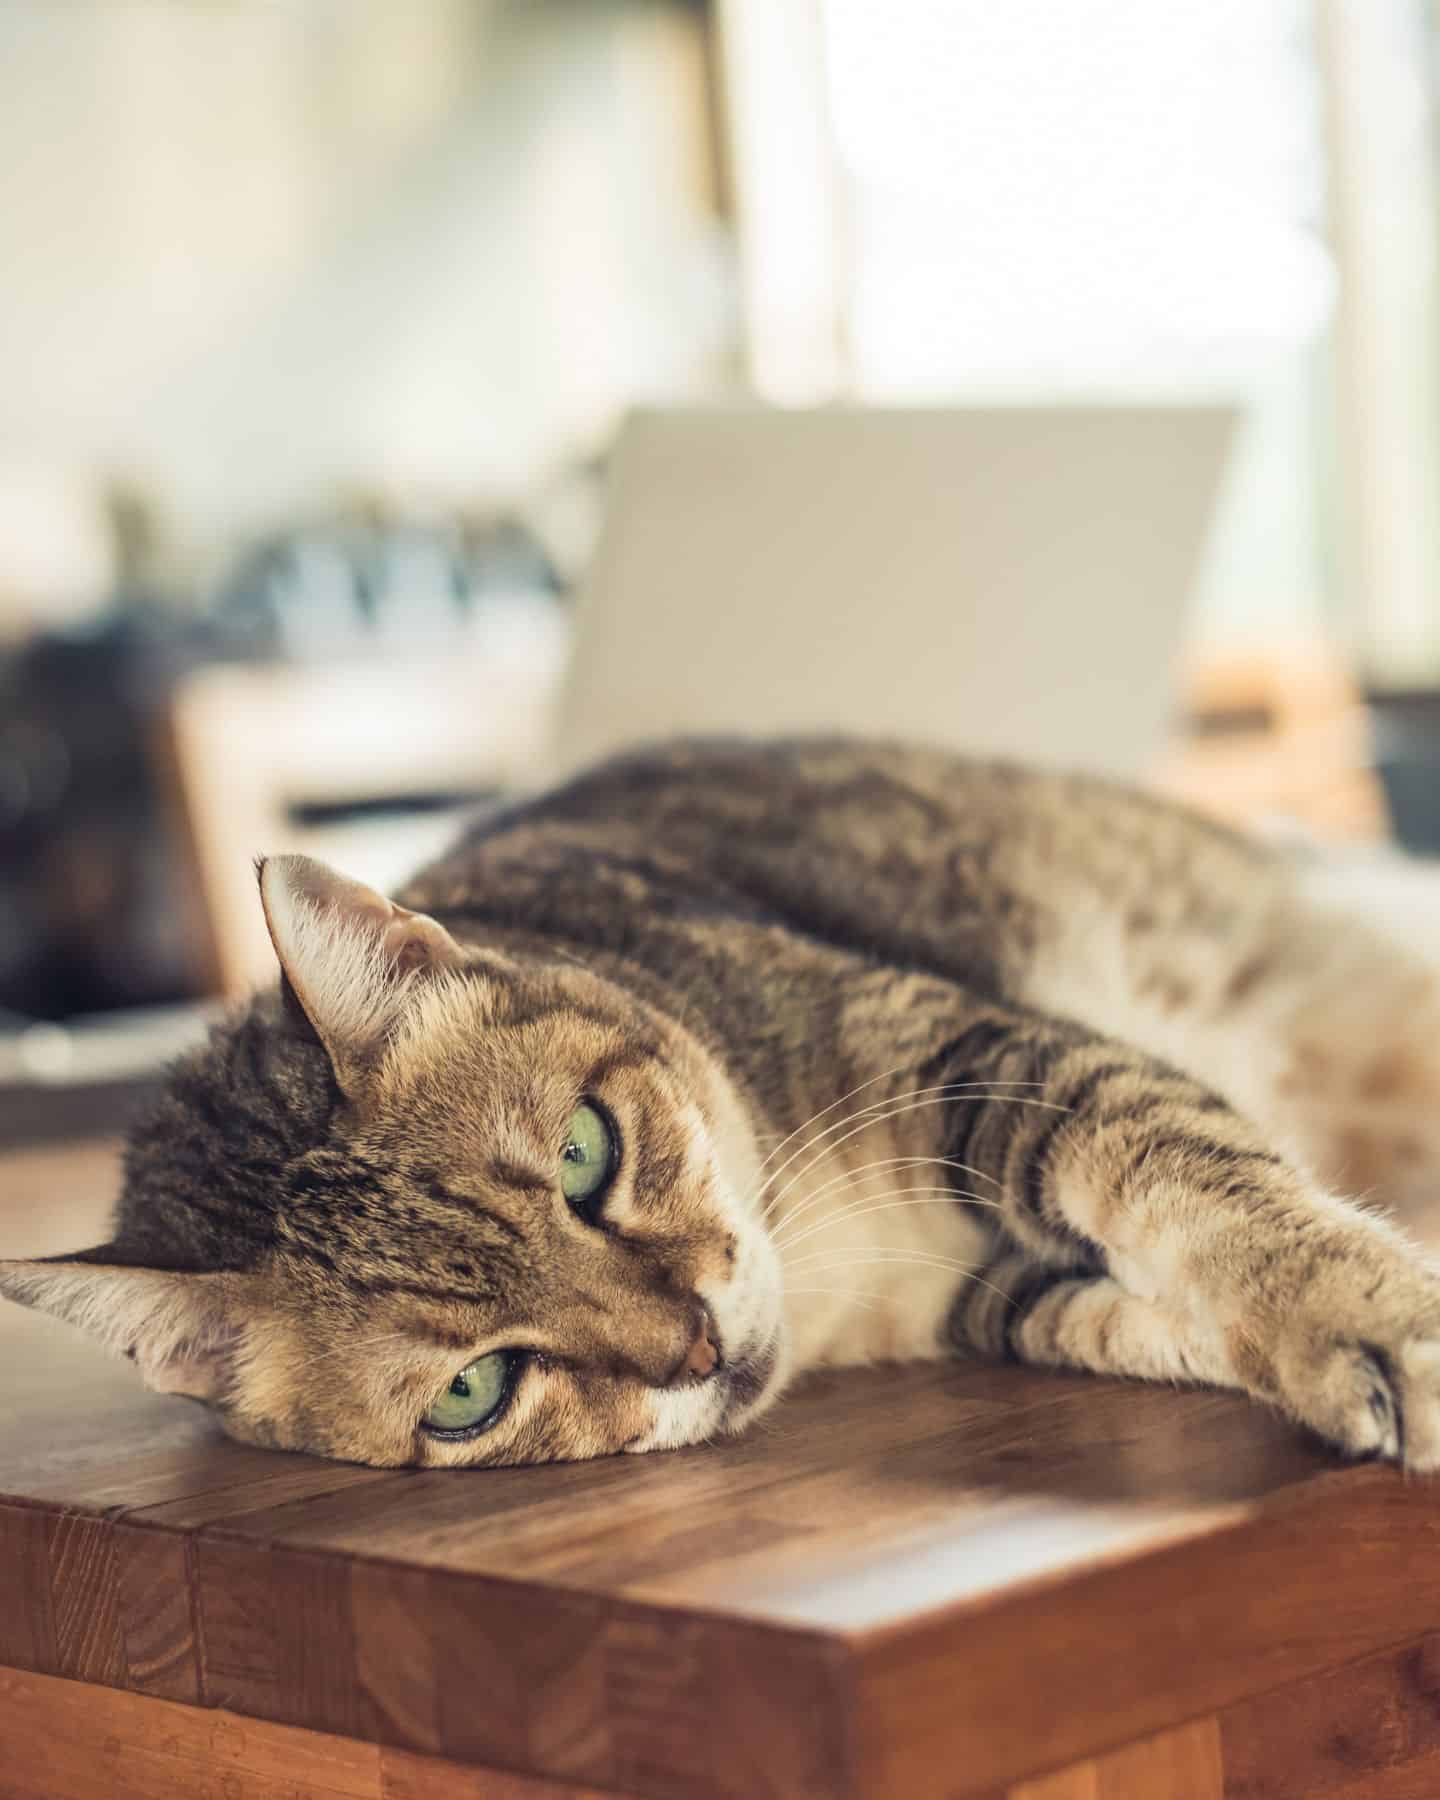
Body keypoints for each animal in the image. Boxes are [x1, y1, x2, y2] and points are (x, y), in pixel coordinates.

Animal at [2, 738, 1440, 1468]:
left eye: (585, 1154)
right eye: (471, 1392)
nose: (694, 1348)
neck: (835, 1254)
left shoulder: (981, 1050)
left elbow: (1185, 1177)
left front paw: (1358, 1309)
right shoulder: (992, 1294)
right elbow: (1134, 1311)